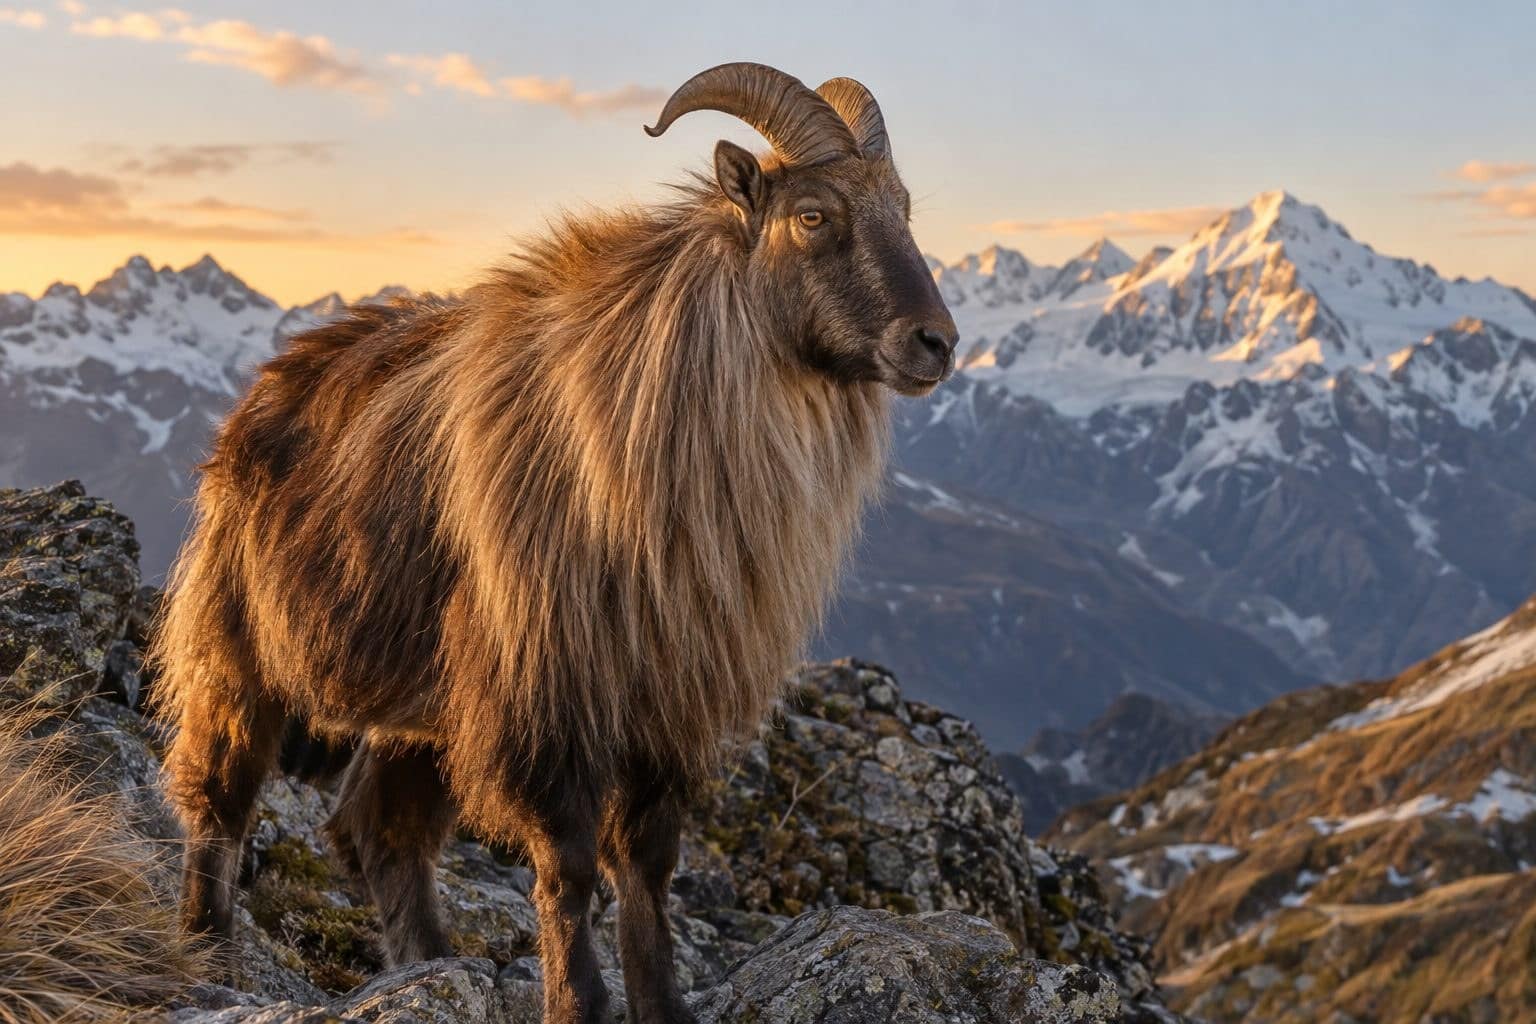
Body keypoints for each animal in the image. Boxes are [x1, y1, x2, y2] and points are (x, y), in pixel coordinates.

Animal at [151, 62, 956, 1024]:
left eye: (903, 208)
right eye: (813, 215)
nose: (936, 342)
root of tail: (266, 391)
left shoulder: (660, 708)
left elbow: (646, 867)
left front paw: (662, 1004)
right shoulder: (543, 698)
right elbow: (567, 867)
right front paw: (576, 1001)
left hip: (426, 705)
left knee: (380, 827)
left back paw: (428, 966)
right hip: (241, 651)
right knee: (218, 802)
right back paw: (208, 956)